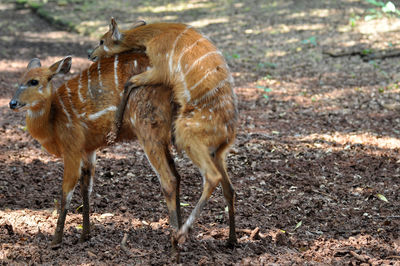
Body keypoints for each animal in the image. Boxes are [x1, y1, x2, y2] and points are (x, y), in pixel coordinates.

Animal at [9, 53, 181, 247]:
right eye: (20, 80)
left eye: (34, 81)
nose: (12, 103)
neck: (52, 122)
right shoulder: (88, 150)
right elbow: (86, 188)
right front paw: (85, 235)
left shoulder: (72, 148)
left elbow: (66, 191)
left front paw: (55, 241)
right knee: (177, 175)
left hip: (147, 128)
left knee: (168, 179)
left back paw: (175, 245)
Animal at [88, 17, 239, 244]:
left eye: (101, 40)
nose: (90, 54)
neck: (155, 35)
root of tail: (228, 134)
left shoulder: (160, 68)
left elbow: (129, 82)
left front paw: (114, 130)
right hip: (217, 152)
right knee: (229, 189)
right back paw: (231, 240)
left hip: (188, 133)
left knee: (212, 177)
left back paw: (182, 232)